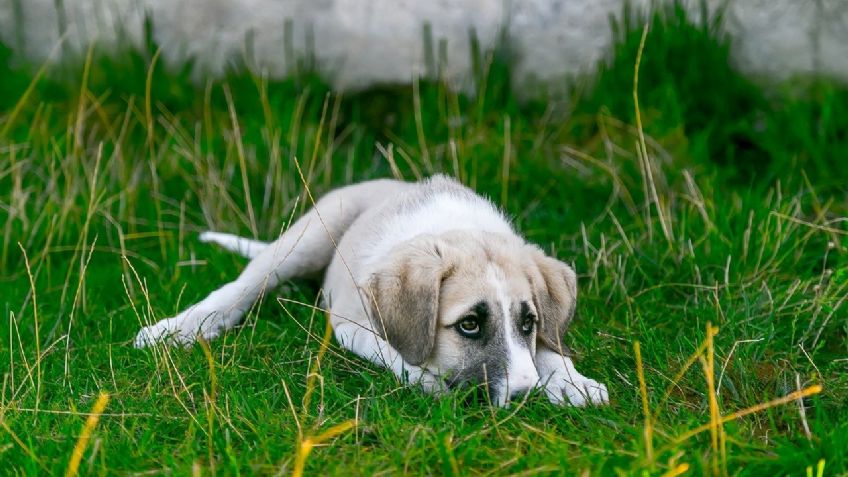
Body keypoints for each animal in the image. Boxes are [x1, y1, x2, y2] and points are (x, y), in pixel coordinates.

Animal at [134, 175, 608, 406]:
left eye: (528, 323)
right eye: (470, 325)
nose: (526, 396)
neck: (454, 227)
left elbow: (549, 347)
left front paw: (572, 381)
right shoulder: (350, 324)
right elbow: (397, 353)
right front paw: (428, 380)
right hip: (309, 234)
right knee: (242, 286)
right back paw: (178, 329)